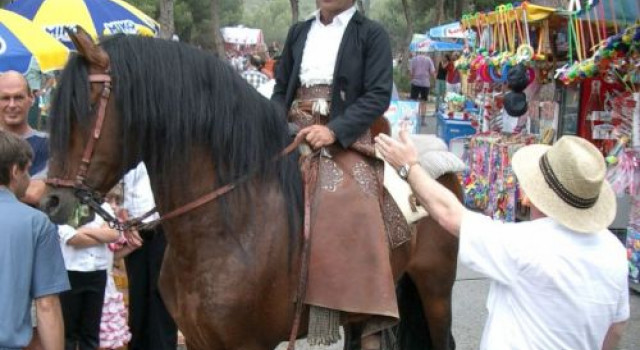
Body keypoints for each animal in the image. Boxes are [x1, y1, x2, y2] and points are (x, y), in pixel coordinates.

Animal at [41, 29, 460, 350]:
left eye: (85, 108)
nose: (51, 199)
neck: (229, 229)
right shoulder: (200, 339)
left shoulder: (247, 343)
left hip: (436, 290)